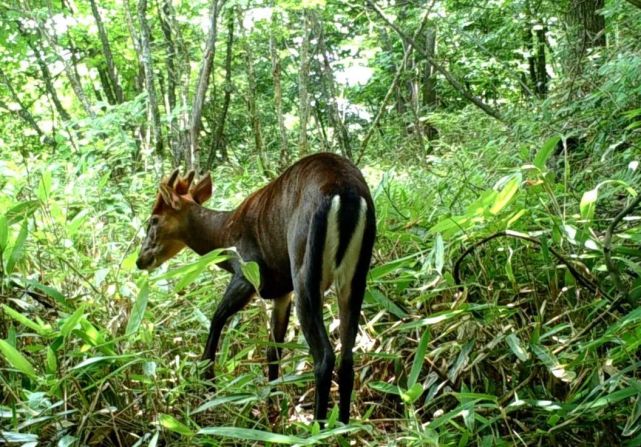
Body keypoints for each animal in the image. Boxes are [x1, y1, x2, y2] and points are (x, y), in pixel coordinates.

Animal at [135, 153, 376, 424]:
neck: (225, 233)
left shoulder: (247, 273)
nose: (140, 260)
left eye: (153, 220)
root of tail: (347, 194)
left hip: (305, 272)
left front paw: (208, 383)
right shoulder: (282, 291)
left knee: (324, 357)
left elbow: (217, 319)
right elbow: (273, 351)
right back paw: (343, 426)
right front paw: (271, 408)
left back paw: (319, 426)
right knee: (347, 359)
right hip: (354, 278)